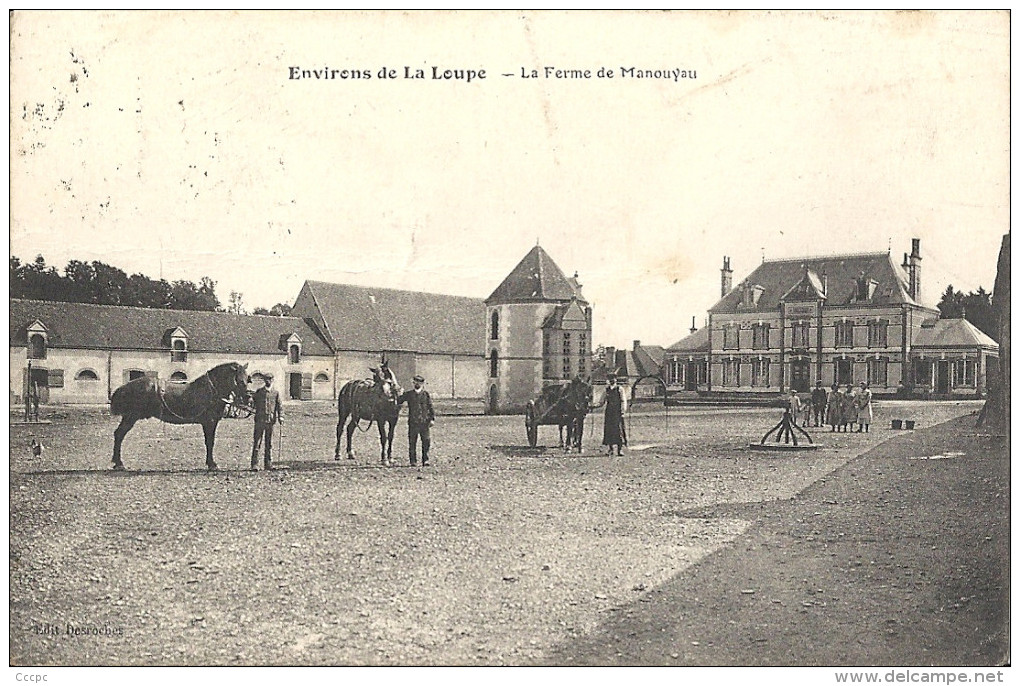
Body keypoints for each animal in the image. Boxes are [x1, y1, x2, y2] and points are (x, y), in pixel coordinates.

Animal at [109, 362, 250, 470]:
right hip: (130, 417)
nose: (248, 398)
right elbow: (210, 442)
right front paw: (212, 464)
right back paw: (119, 463)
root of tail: (124, 387)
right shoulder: (210, 422)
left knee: (118, 434)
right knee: (119, 435)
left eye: (248, 379)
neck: (211, 391)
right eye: (239, 380)